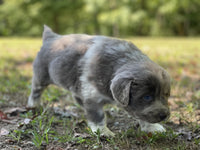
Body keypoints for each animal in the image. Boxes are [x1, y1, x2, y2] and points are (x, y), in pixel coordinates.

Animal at [27, 25, 170, 137]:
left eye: (165, 96)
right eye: (147, 97)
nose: (164, 115)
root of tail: (51, 37)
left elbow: (142, 115)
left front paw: (152, 128)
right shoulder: (92, 96)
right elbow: (97, 115)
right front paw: (103, 131)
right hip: (41, 76)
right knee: (35, 91)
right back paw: (34, 105)